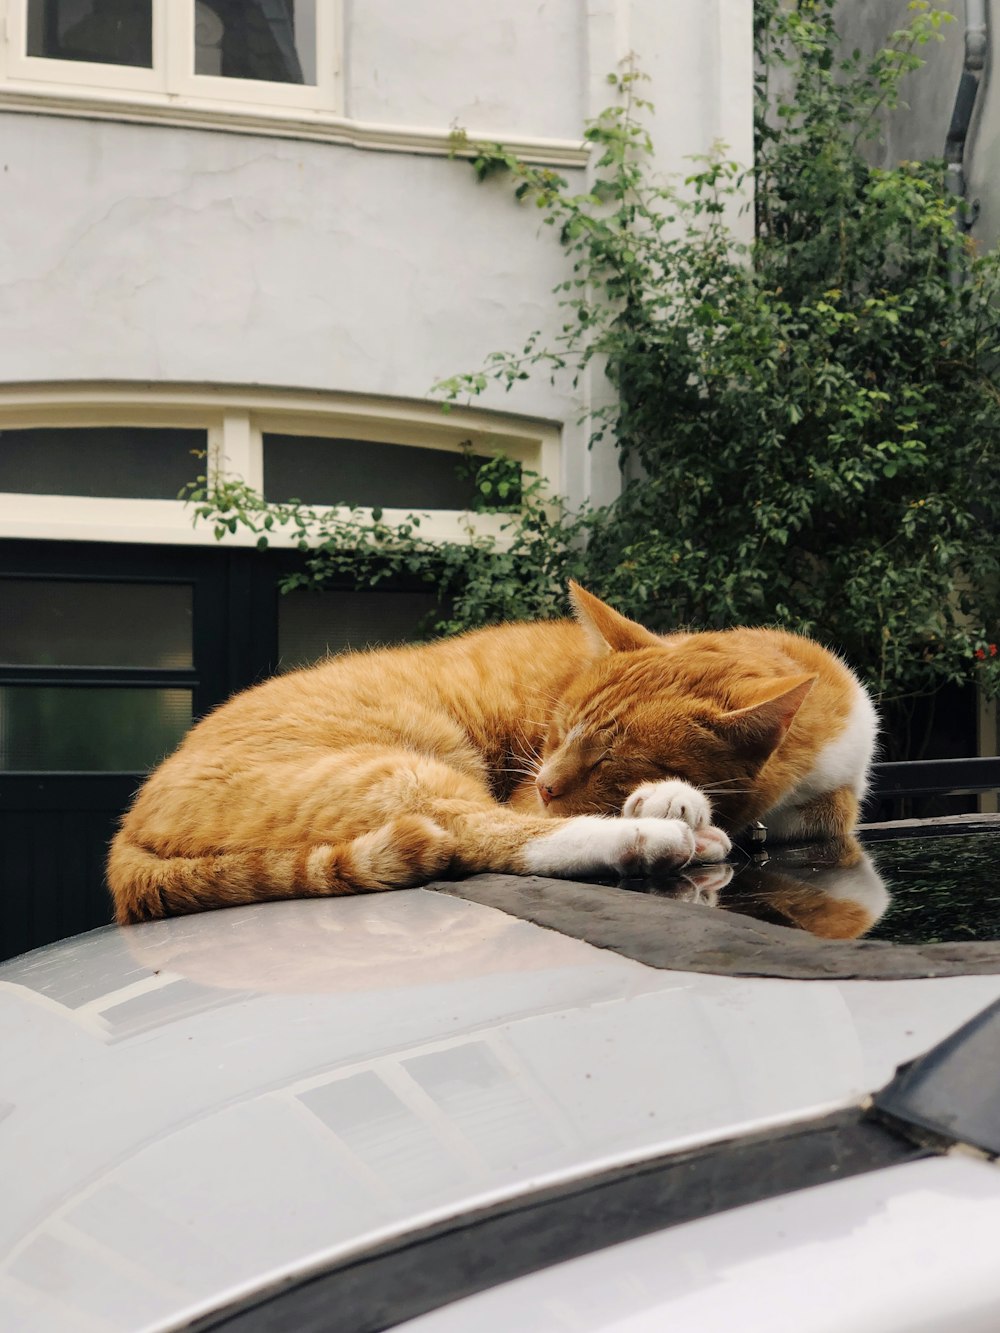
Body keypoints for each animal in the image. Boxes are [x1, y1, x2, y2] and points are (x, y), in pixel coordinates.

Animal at [109, 589, 874, 922]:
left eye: (608, 760)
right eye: (557, 730)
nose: (550, 784)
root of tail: (129, 823)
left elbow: (830, 816)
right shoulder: (521, 784)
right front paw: (669, 800)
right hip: (404, 768)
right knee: (485, 835)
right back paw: (657, 836)